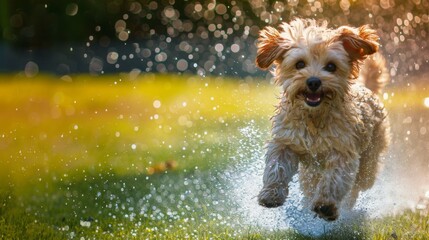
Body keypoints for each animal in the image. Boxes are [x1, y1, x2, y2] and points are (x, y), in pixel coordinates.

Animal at [254, 18, 392, 221]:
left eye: (331, 66)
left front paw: (325, 205)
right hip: (310, 171)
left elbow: (335, 178)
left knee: (358, 185)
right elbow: (276, 166)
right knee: (311, 184)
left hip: (369, 162)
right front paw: (271, 193)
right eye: (299, 64)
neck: (314, 117)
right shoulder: (285, 141)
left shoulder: (343, 151)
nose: (313, 81)